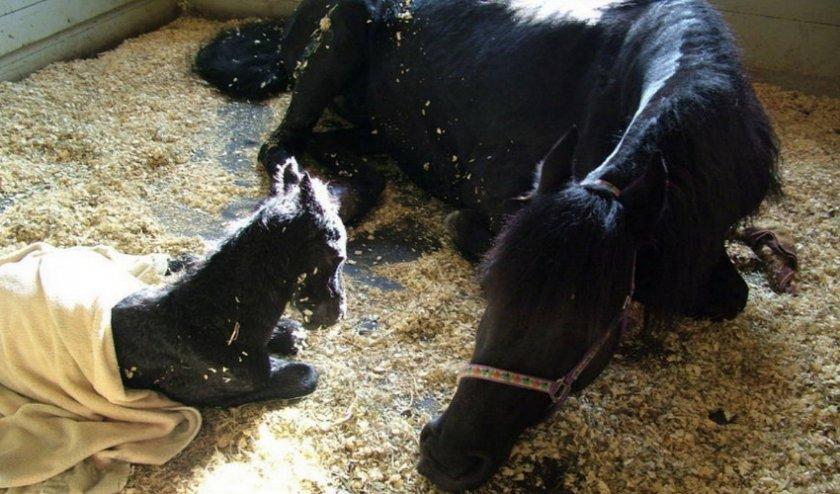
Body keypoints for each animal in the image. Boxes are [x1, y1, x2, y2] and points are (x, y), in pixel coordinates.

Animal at [195, 0, 780, 489]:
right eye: (487, 295)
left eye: (582, 329)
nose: (446, 457)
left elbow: (733, 296)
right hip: (331, 53)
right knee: (284, 143)